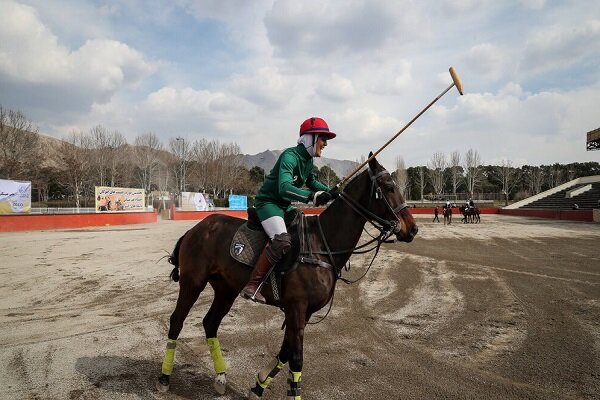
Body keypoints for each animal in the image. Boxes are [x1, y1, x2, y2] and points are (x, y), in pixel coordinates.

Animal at [155, 155, 418, 398]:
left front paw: (258, 386)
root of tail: (194, 229)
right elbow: (297, 358)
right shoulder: (296, 306)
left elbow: (286, 351)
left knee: (210, 323)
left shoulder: (304, 310)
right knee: (176, 321)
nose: (412, 229)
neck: (322, 244)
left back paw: (220, 378)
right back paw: (164, 378)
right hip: (193, 282)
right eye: (388, 187)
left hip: (226, 288)